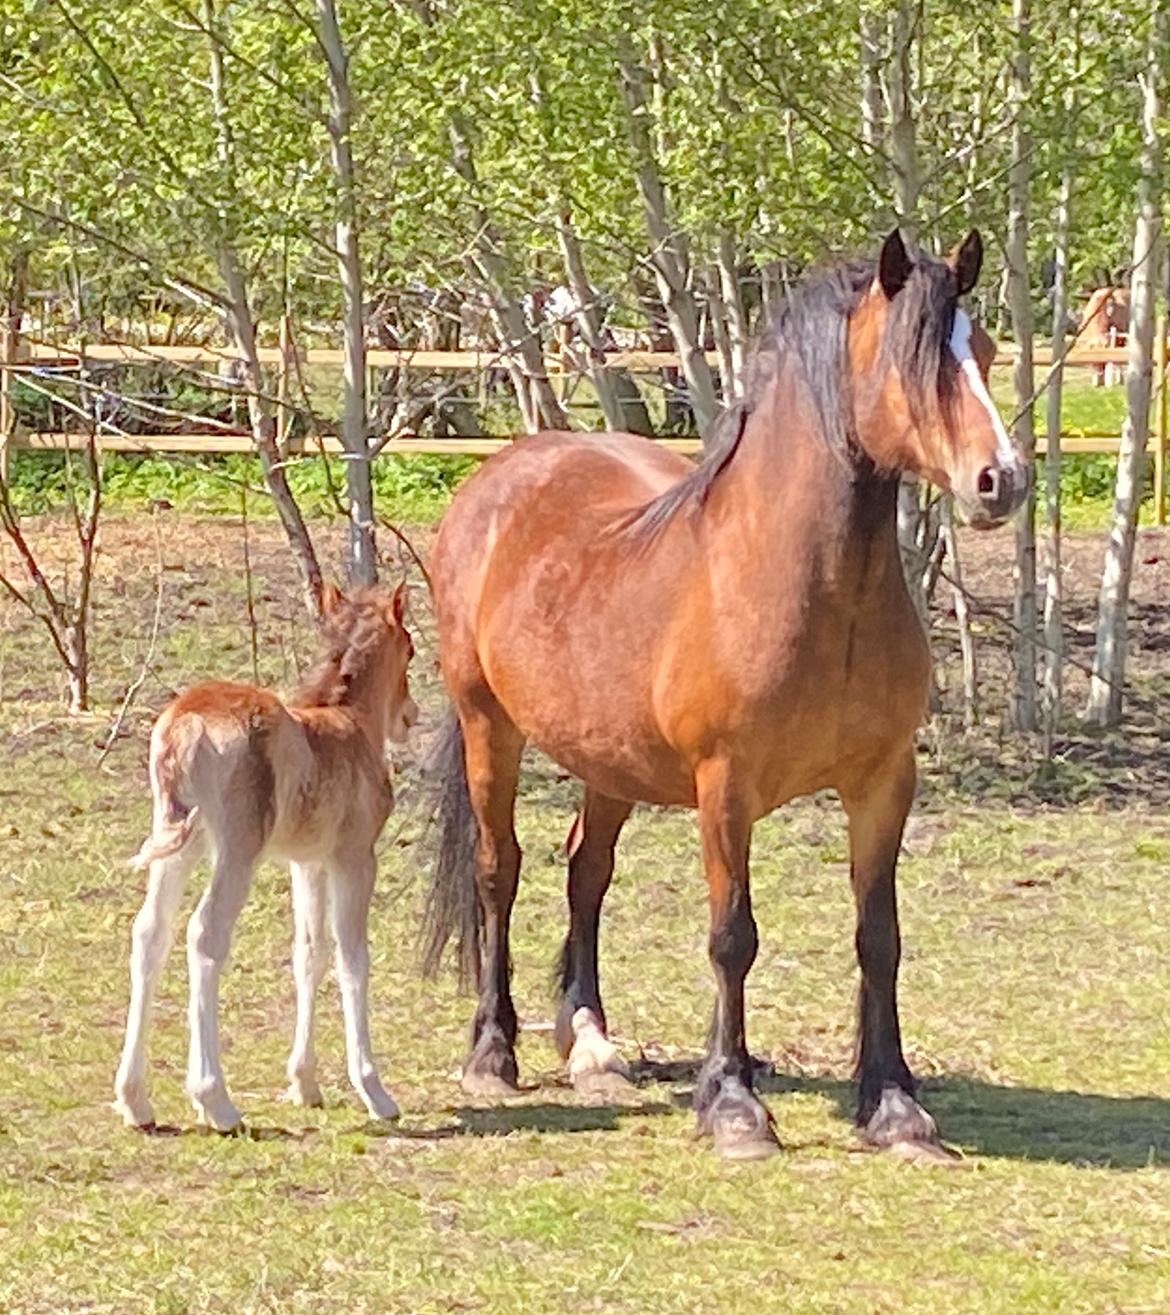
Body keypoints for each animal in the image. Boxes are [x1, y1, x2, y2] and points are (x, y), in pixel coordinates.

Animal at [423, 231, 1025, 1157]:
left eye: (985, 351)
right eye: (914, 361)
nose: (1003, 480)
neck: (803, 587)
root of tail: (501, 477)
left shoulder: (884, 782)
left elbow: (879, 936)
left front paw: (893, 1104)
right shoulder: (726, 788)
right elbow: (732, 936)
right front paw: (735, 1102)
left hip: (608, 758)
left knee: (585, 871)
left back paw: (591, 1042)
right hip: (490, 725)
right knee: (501, 870)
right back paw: (493, 1050)